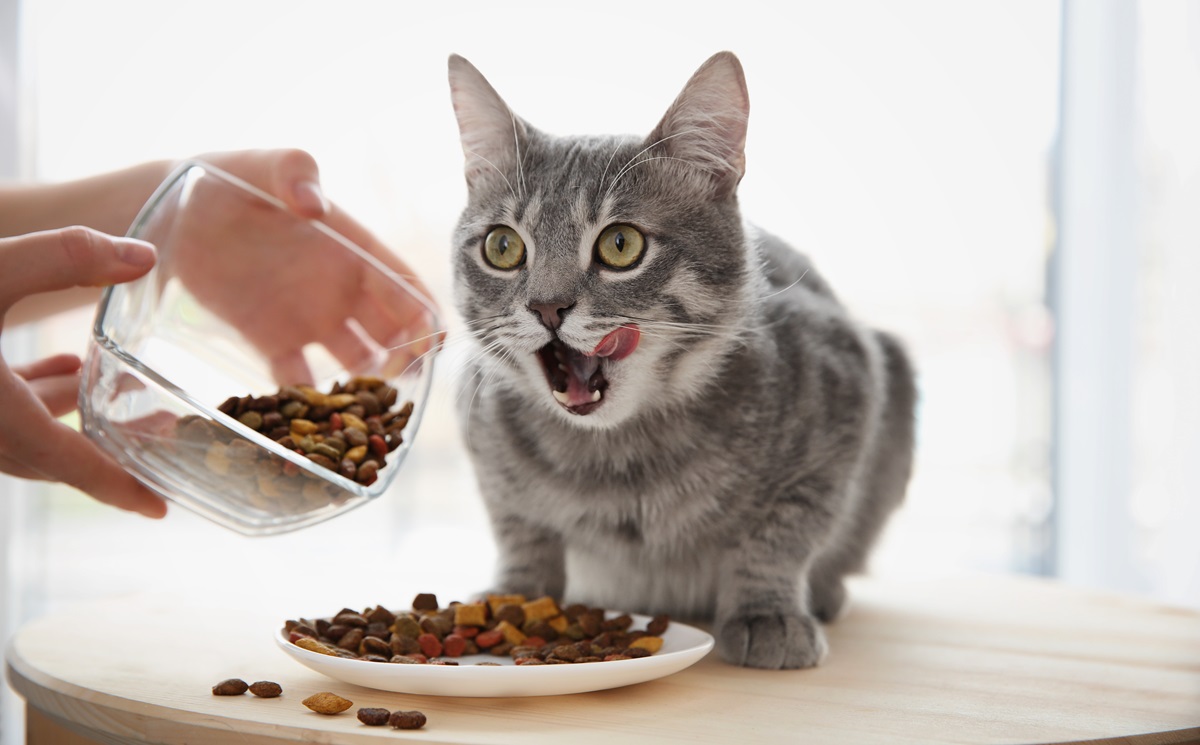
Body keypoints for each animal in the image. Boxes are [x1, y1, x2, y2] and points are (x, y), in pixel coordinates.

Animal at [446, 50, 912, 667]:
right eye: (503, 247)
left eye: (621, 245)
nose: (546, 306)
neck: (617, 459)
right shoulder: (485, 446)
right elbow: (520, 531)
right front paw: (515, 598)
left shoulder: (844, 396)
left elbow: (782, 532)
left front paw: (767, 612)